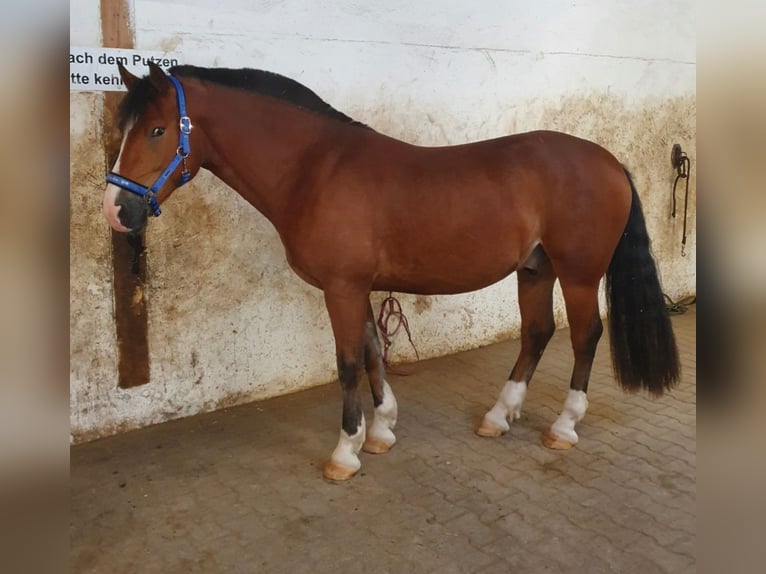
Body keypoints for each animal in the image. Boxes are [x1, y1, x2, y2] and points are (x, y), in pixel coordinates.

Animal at [105, 63, 680, 484]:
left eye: (157, 130)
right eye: (123, 130)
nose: (116, 212)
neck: (315, 169)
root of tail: (610, 162)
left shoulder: (340, 287)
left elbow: (346, 363)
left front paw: (345, 451)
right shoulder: (356, 287)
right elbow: (371, 350)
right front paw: (381, 432)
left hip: (579, 275)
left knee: (584, 337)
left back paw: (563, 426)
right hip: (535, 271)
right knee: (537, 333)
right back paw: (498, 416)